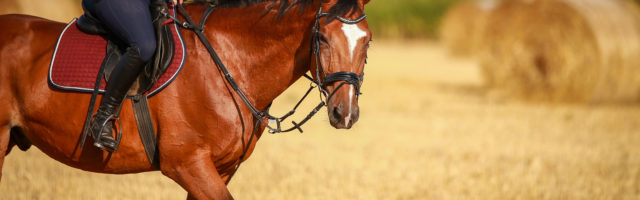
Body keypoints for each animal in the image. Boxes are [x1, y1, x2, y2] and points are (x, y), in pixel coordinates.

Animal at [0, 0, 370, 198]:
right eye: (322, 38)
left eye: (366, 40)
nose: (345, 113)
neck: (229, 59)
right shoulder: (187, 164)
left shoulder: (218, 169)